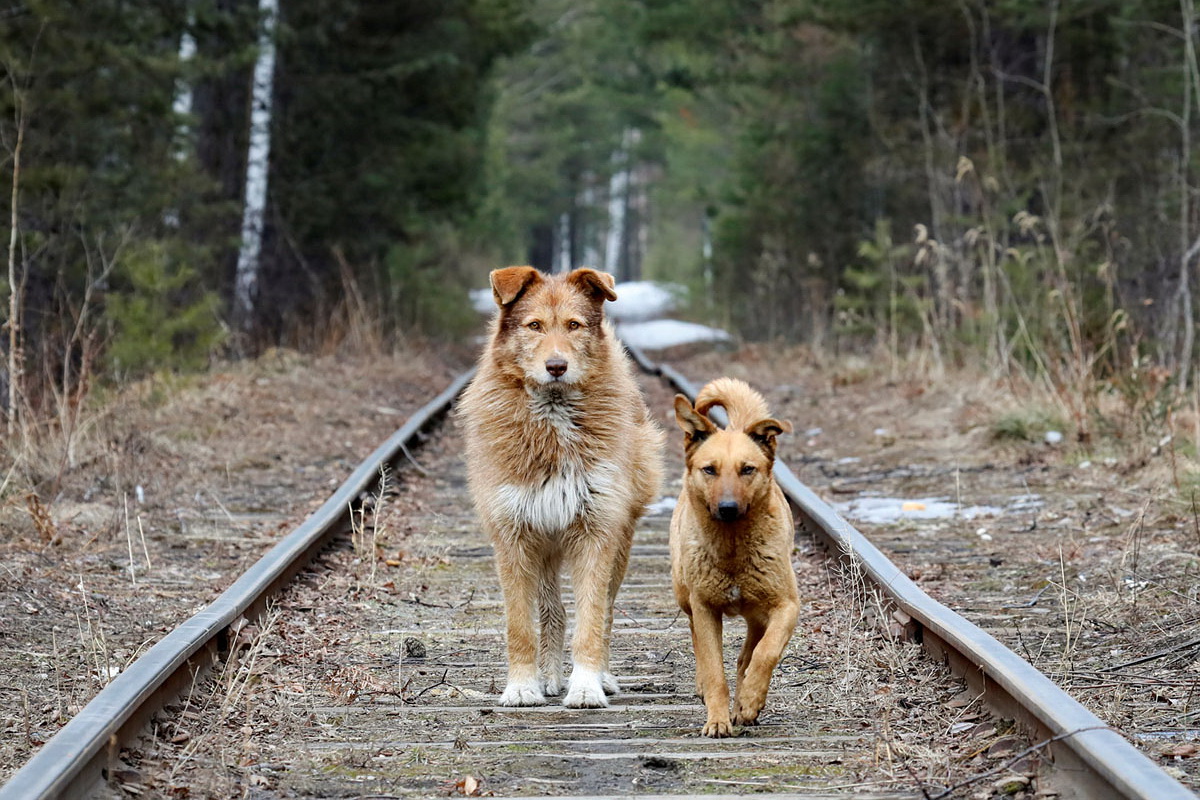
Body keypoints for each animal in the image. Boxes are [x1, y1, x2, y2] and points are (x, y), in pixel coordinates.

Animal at [458, 267, 667, 705]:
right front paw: (522, 686)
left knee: (605, 611)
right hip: (546, 547)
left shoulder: (596, 532)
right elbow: (521, 625)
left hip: (619, 541)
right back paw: (550, 676)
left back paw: (597, 676)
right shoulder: (514, 536)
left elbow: (592, 621)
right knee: (552, 610)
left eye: (574, 325)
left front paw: (586, 685)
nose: (557, 366)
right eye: (534, 326)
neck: (552, 419)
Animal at [667, 381, 796, 738]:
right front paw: (717, 719)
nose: (727, 508)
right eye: (709, 469)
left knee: (747, 655)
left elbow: (764, 654)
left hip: (758, 614)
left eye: (747, 469)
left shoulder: (786, 606)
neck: (733, 549)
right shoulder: (705, 608)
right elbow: (714, 668)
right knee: (696, 637)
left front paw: (749, 701)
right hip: (684, 594)